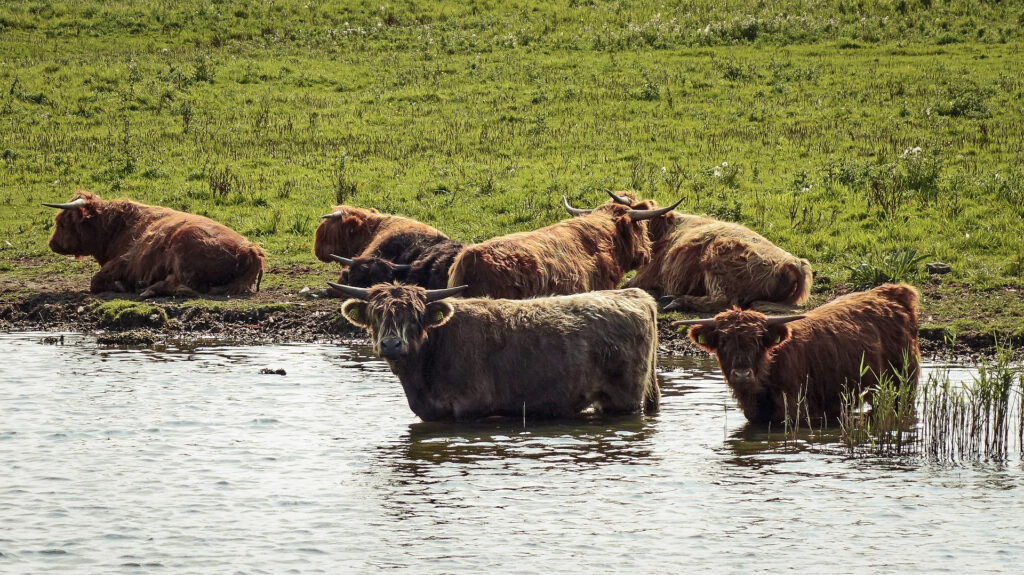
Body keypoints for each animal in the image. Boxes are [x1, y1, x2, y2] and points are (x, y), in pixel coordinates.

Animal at [45, 189, 266, 294]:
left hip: (183, 251)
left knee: (186, 286)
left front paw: (120, 285)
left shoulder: (125, 262)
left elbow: (95, 280)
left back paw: (148, 289)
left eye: (63, 223)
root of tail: (250, 250)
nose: (52, 243)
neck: (118, 227)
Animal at [331, 282, 659, 421]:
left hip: (624, 399)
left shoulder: (471, 409)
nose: (391, 344)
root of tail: (634, 294)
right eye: (376, 315)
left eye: (414, 317)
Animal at [675, 282, 925, 423]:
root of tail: (893, 291)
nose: (742, 374)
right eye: (724, 341)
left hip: (903, 384)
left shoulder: (795, 409)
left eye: (757, 341)